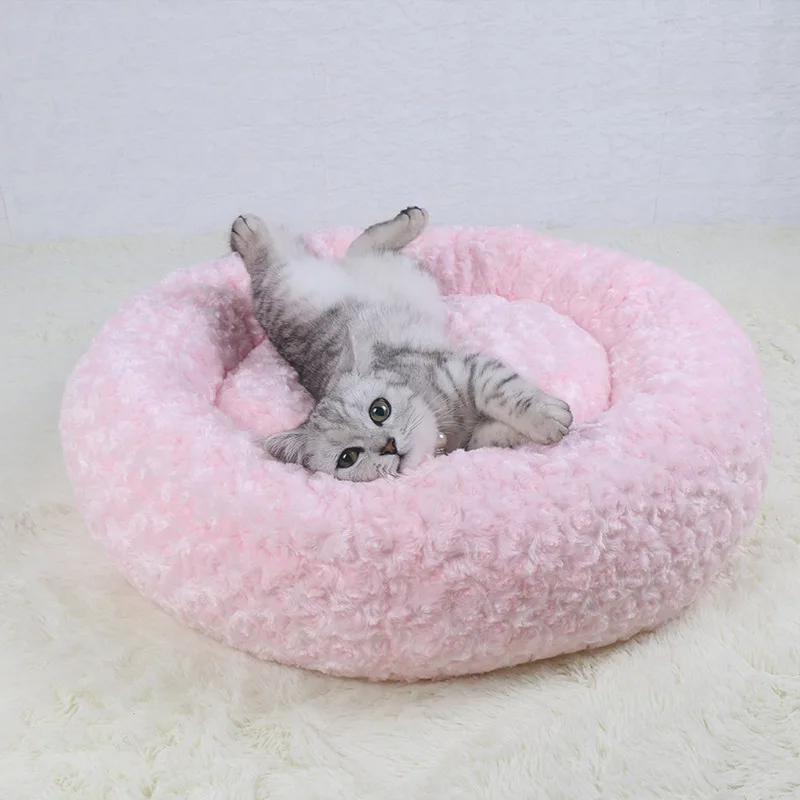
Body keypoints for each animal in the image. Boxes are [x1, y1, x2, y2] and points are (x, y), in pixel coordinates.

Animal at [230, 207, 572, 482]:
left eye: (379, 410)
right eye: (348, 458)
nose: (388, 445)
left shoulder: (466, 368)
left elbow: (505, 395)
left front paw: (548, 417)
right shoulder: (467, 435)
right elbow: (488, 437)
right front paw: (534, 430)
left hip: (291, 283)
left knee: (339, 250)